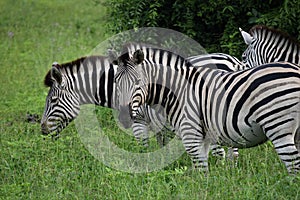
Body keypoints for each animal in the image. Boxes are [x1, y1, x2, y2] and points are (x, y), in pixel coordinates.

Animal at [112, 45, 300, 173]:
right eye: (116, 82)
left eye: (138, 82)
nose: (124, 117)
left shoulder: (143, 122)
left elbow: (144, 148)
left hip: (277, 125)